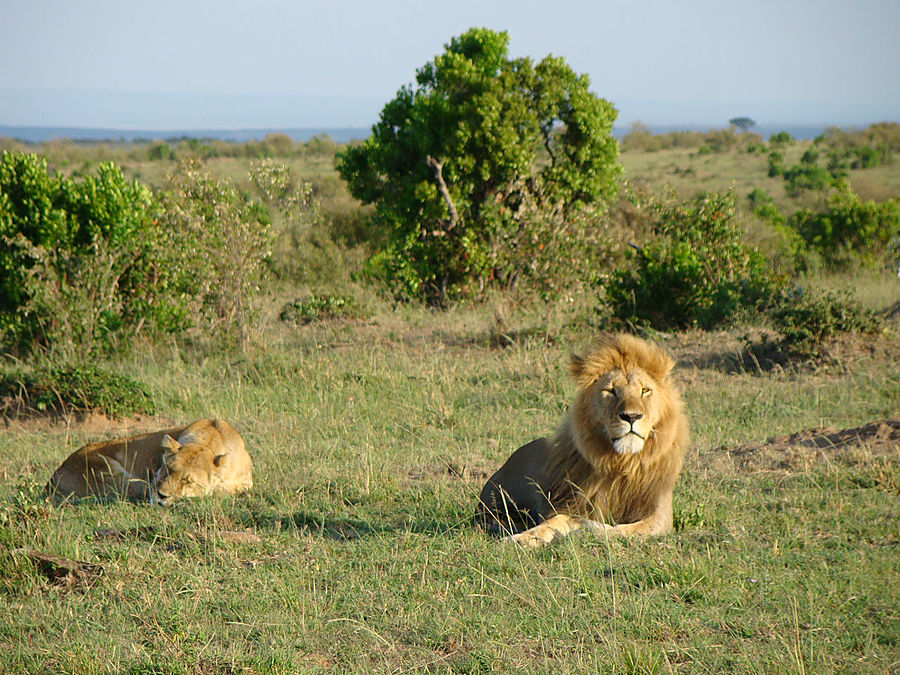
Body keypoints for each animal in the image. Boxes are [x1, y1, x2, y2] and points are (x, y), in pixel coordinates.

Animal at [48, 420, 253, 504]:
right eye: (167, 469)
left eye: (187, 481)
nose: (162, 496)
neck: (208, 441)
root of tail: (52, 478)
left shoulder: (247, 481)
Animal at [478, 334, 688, 548]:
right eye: (611, 391)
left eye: (645, 390)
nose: (631, 416)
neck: (623, 462)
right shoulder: (574, 505)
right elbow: (555, 521)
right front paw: (523, 538)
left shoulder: (660, 517)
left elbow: (621, 530)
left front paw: (586, 530)